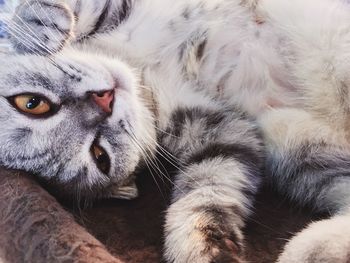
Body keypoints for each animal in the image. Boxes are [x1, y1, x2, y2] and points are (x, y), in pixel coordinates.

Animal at [2, 0, 350, 262]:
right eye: (100, 155)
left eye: (32, 103)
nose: (105, 100)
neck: (140, 70)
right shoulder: (221, 130)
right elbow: (205, 192)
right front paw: (206, 247)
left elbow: (80, 10)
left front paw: (39, 23)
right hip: (296, 144)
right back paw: (310, 249)